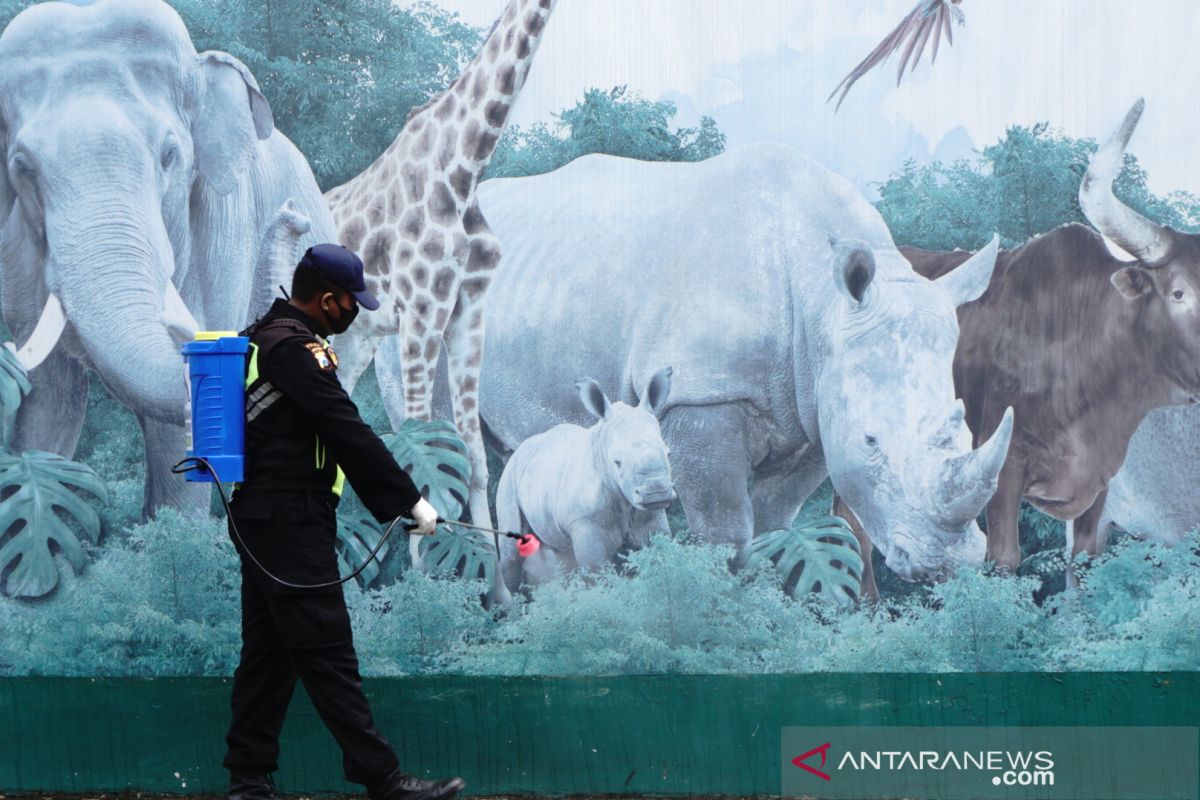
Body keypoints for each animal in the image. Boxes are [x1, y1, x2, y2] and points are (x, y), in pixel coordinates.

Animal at [324, 0, 556, 532]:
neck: (463, 169)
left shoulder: (468, 310)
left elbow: (474, 456)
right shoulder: (421, 310)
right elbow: (418, 454)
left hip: (353, 340)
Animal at [499, 369, 681, 594]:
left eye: (669, 453)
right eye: (617, 462)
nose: (656, 493)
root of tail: (520, 449)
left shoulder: (652, 516)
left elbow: (660, 555)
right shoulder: (586, 523)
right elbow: (598, 574)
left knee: (563, 555)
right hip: (509, 477)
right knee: (511, 553)